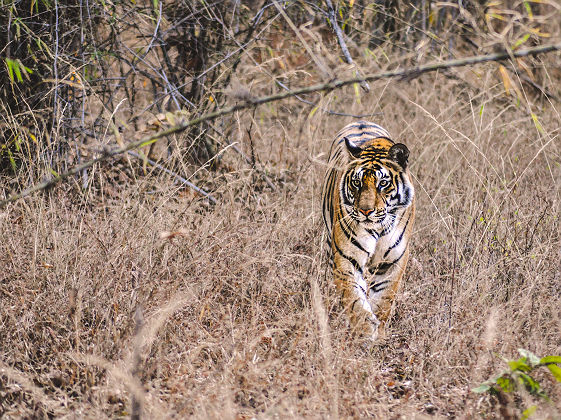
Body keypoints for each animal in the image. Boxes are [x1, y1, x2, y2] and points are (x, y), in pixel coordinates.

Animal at [322, 120, 414, 342]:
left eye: (383, 183)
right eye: (357, 182)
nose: (365, 211)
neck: (378, 228)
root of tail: (360, 121)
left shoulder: (393, 262)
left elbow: (383, 299)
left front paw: (378, 333)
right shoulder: (346, 259)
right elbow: (354, 299)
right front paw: (364, 330)